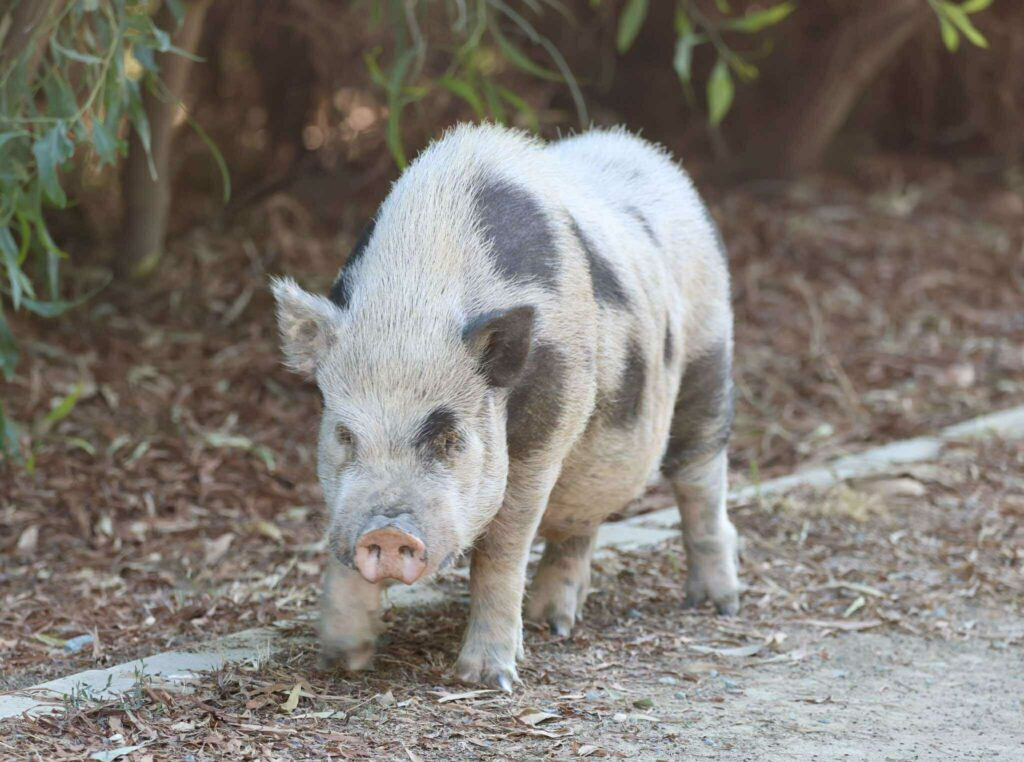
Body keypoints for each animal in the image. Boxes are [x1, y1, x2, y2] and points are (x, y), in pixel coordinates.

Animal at [271, 123, 739, 691]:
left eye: (450, 438)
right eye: (344, 434)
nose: (386, 532)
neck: (417, 299)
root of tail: (648, 154)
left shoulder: (545, 436)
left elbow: (501, 550)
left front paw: (486, 678)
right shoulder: (344, 498)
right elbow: (340, 539)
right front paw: (340, 661)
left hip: (709, 349)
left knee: (700, 478)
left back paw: (716, 605)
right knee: (581, 524)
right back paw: (551, 622)